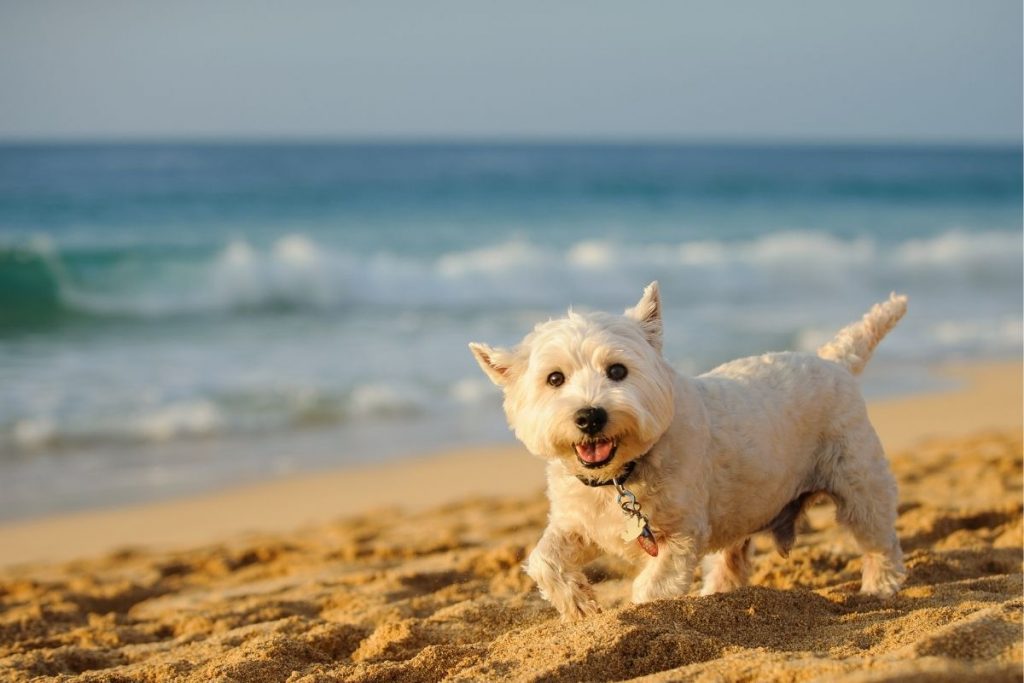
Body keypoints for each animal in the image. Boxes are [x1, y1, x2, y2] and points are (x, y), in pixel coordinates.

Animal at [468, 282, 909, 618]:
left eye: (617, 371)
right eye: (554, 378)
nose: (590, 416)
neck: (621, 476)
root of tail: (835, 361)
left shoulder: (680, 535)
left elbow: (652, 587)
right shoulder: (579, 522)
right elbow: (544, 560)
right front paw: (580, 606)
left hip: (858, 479)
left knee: (878, 537)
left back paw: (879, 586)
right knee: (731, 558)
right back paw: (717, 594)